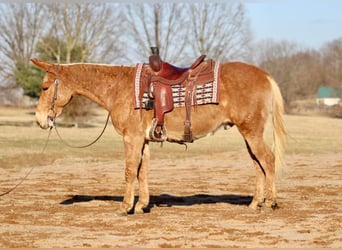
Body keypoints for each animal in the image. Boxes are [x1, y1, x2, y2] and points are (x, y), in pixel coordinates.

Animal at [31, 58, 286, 215]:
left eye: (45, 87)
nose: (40, 120)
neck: (119, 88)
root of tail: (264, 75)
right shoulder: (143, 141)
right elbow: (142, 172)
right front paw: (142, 205)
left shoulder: (131, 139)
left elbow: (129, 171)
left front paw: (125, 207)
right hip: (249, 134)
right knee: (258, 164)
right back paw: (255, 203)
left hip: (252, 132)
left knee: (268, 160)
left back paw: (270, 203)